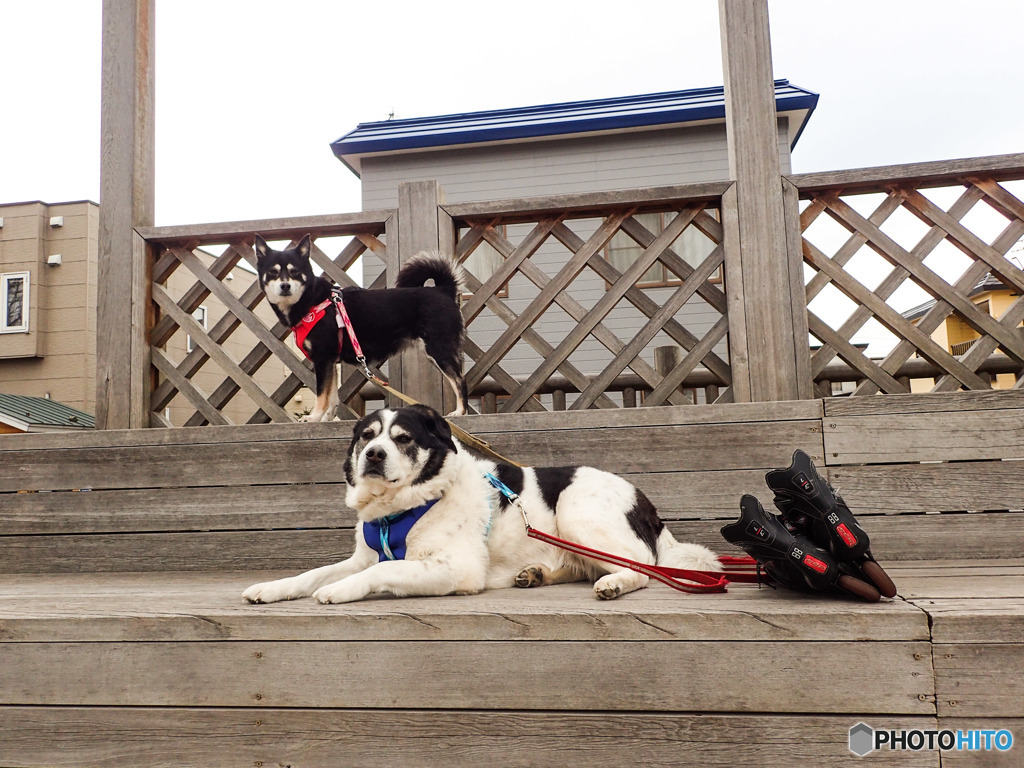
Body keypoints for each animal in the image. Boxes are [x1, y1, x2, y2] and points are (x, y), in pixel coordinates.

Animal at [241, 403, 720, 606]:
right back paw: (537, 574)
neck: (403, 507)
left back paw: (614, 584)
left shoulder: (457, 568)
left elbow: (380, 572)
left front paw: (338, 591)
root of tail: (649, 507)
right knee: (581, 565)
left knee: (643, 569)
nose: (373, 455)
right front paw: (273, 588)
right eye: (366, 435)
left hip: (577, 510)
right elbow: (314, 573)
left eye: (403, 438)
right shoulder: (361, 556)